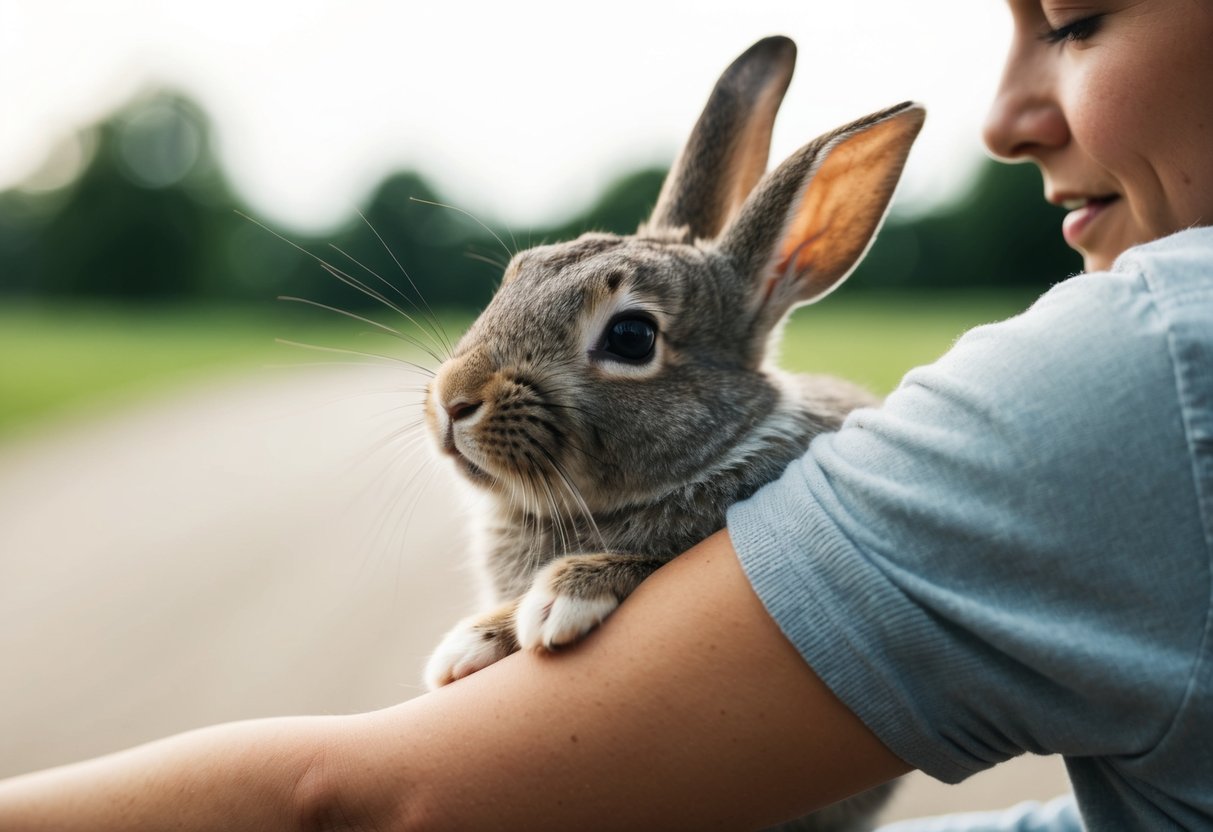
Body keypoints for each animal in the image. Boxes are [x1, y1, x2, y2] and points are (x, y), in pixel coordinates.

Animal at [421, 35, 924, 831]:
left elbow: (646, 562)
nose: (452, 401)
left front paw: (561, 598)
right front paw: (474, 639)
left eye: (631, 336)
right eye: (516, 275)